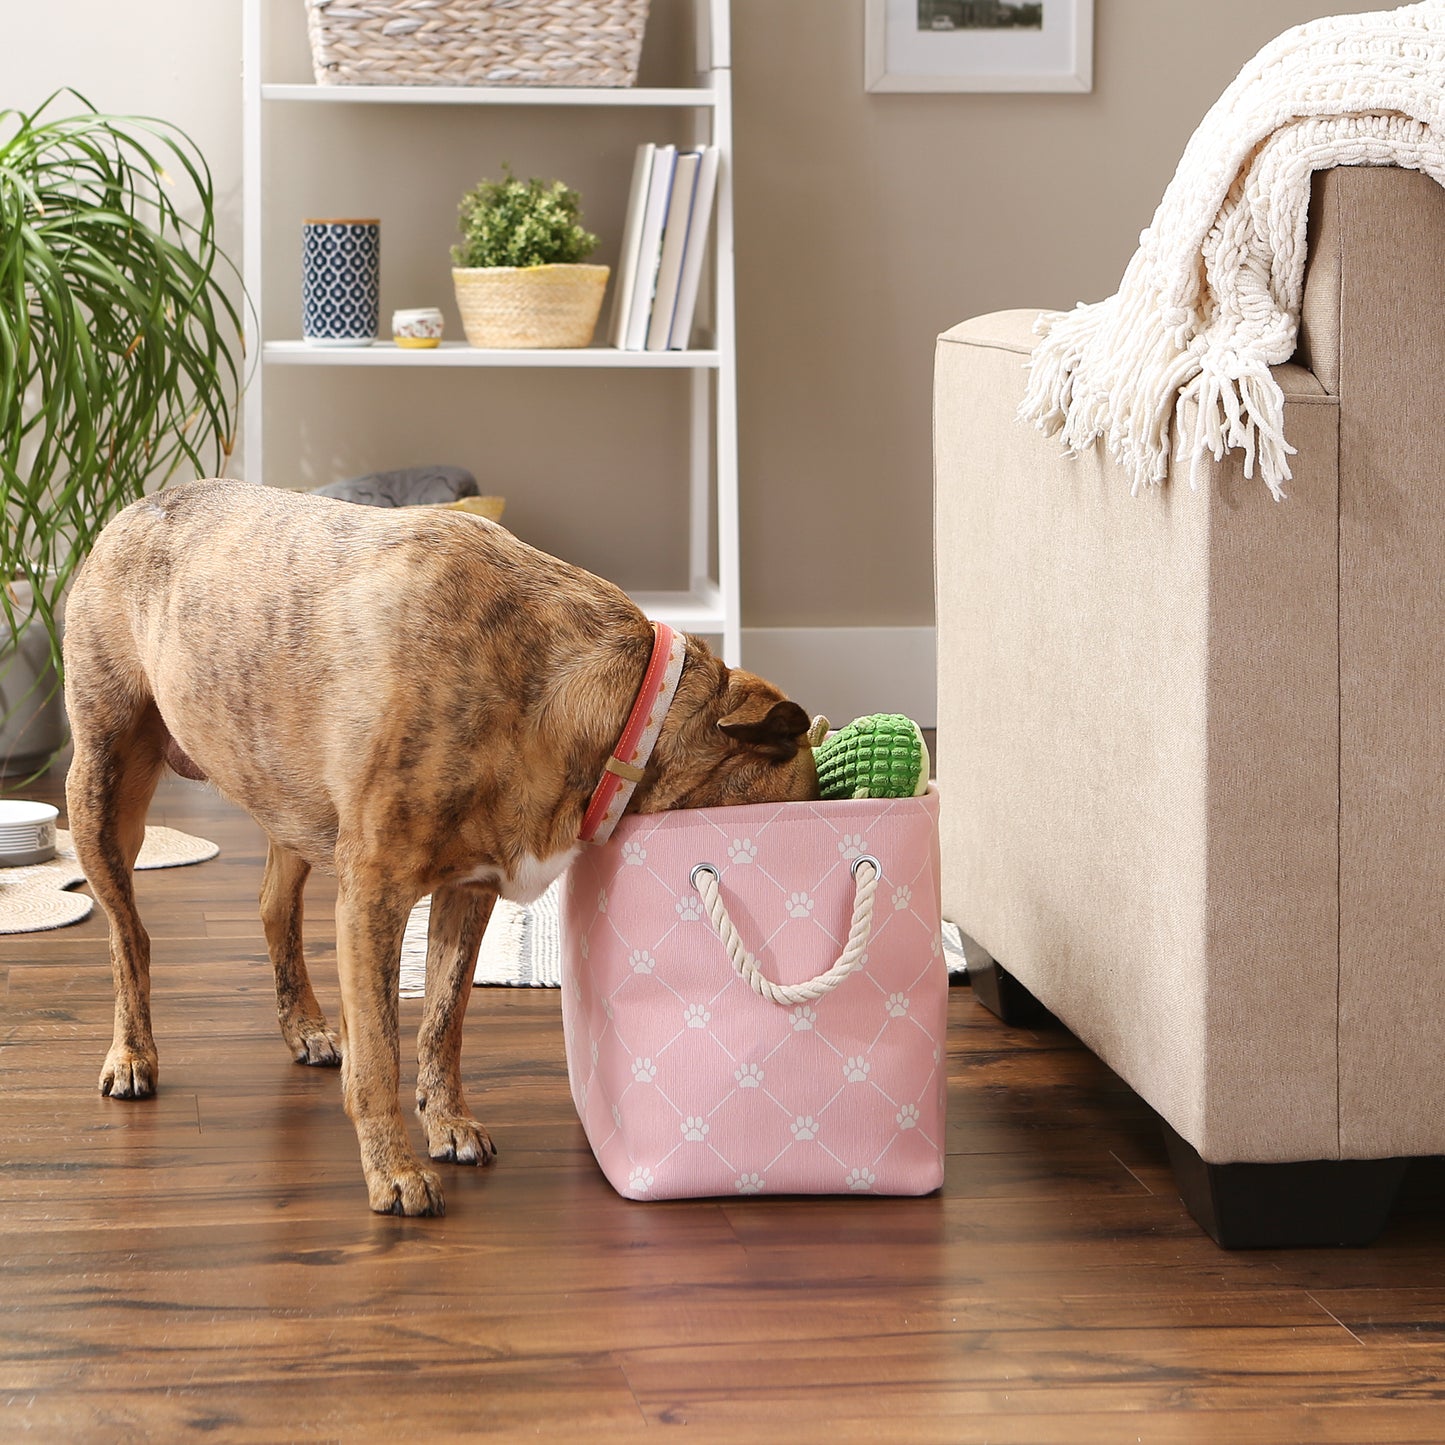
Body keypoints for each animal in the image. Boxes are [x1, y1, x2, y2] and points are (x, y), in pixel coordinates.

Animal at [65, 479, 814, 1213]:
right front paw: (392, 1171)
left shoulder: (468, 892)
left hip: (283, 791)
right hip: (104, 787)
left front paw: (447, 1120)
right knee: (129, 934)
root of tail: (134, 508)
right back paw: (131, 1053)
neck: (619, 710)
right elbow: (379, 1053)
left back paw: (303, 1023)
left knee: (274, 905)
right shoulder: (373, 895)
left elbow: (442, 1021)